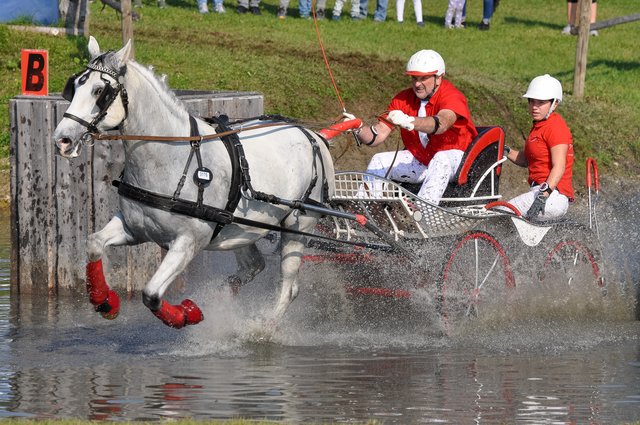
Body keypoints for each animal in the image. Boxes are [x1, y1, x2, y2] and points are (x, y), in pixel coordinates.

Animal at [52, 36, 338, 328]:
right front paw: (105, 301)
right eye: (74, 86)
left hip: (298, 227)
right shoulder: (134, 229)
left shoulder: (188, 242)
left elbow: (151, 294)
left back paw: (263, 327)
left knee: (288, 286)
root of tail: (312, 135)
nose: (62, 139)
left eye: (99, 91)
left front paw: (187, 313)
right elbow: (94, 244)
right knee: (254, 266)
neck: (171, 157)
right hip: (241, 229)